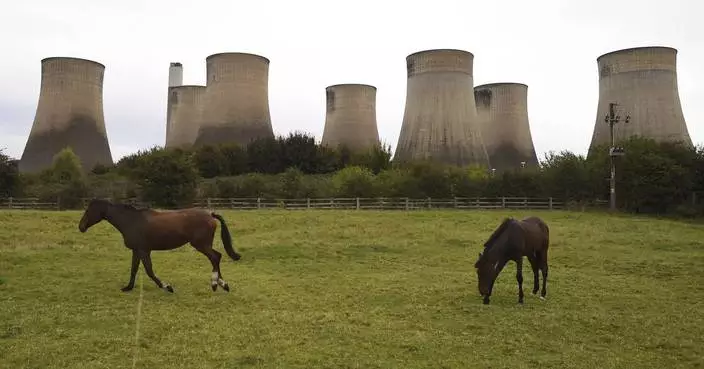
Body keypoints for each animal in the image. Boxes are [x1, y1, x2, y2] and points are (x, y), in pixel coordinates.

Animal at [77, 198, 242, 294]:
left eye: (89, 210)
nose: (81, 227)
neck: (131, 221)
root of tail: (210, 214)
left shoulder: (144, 251)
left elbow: (149, 271)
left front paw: (167, 287)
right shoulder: (137, 251)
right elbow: (134, 269)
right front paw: (128, 288)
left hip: (201, 245)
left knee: (215, 257)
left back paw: (216, 283)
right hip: (203, 245)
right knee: (217, 257)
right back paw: (222, 284)